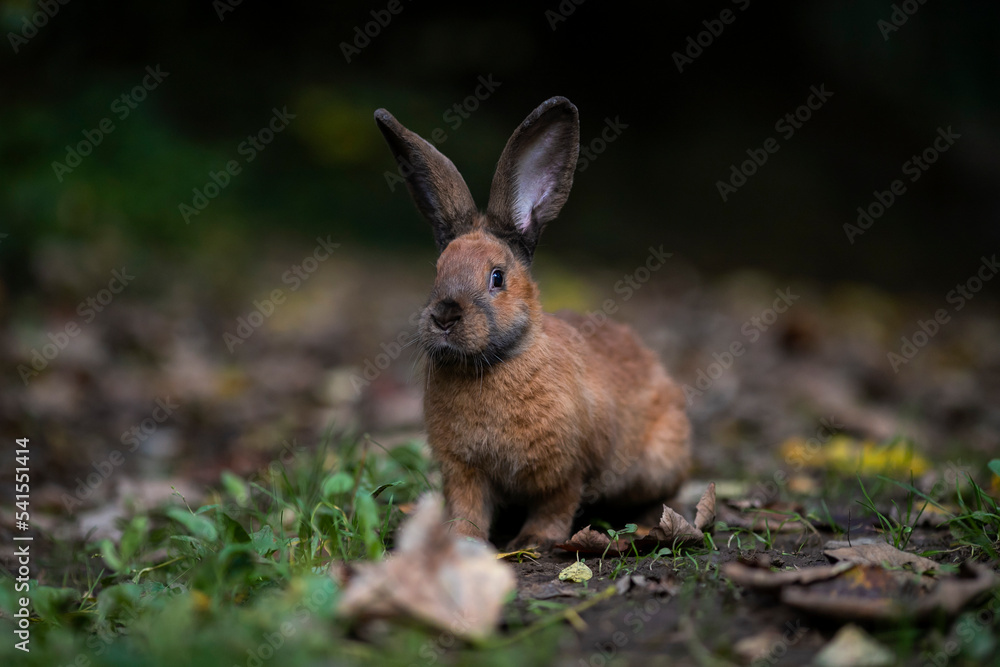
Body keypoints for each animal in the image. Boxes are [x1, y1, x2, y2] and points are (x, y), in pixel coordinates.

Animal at [374, 96, 690, 550]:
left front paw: (532, 542)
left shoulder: (564, 470)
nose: (445, 315)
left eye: (497, 277)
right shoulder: (463, 472)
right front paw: (463, 541)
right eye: (437, 272)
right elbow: (469, 508)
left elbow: (554, 506)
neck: (494, 362)